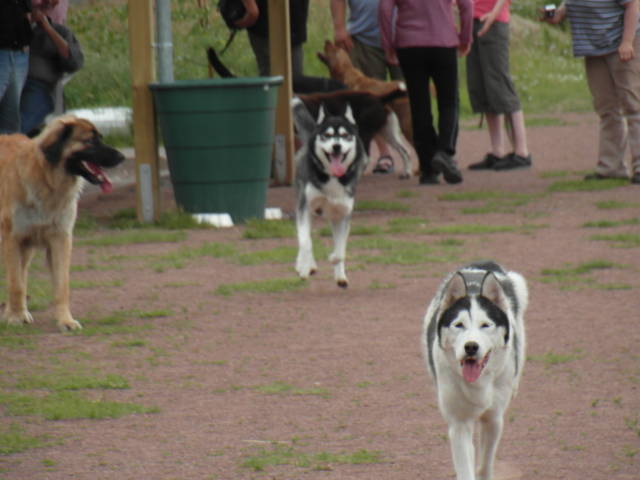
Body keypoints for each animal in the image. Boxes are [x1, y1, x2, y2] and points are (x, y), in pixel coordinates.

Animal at [0, 116, 125, 330]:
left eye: (100, 138)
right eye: (90, 141)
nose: (122, 156)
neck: (47, 181)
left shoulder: (59, 239)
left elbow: (61, 286)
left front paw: (65, 320)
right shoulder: (13, 239)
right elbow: (15, 284)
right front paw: (14, 317)